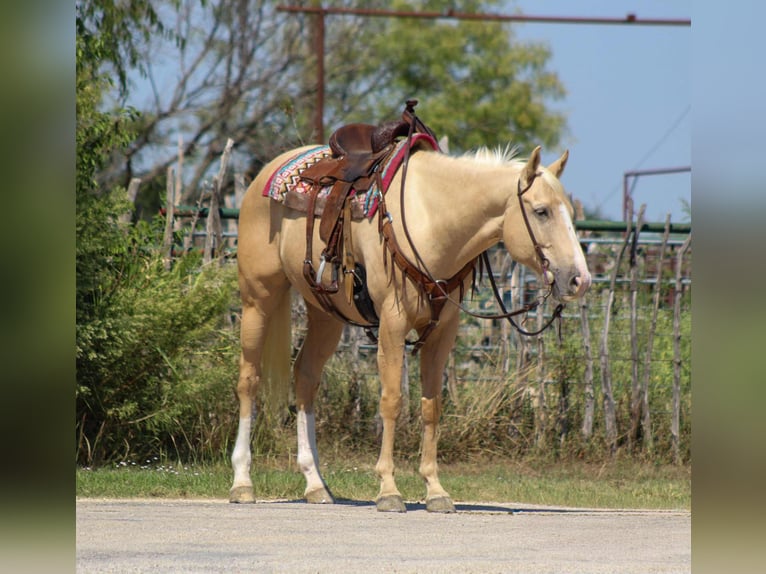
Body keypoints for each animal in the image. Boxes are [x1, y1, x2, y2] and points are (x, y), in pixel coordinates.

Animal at [228, 126, 591, 513]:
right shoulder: (392, 324)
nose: (580, 280)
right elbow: (392, 402)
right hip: (258, 299)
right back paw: (242, 482)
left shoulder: (443, 332)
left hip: (326, 314)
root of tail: (265, 173)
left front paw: (435, 490)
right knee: (248, 380)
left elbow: (431, 408)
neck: (431, 220)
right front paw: (388, 489)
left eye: (569, 212)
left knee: (306, 377)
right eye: (541, 212)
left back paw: (315, 484)